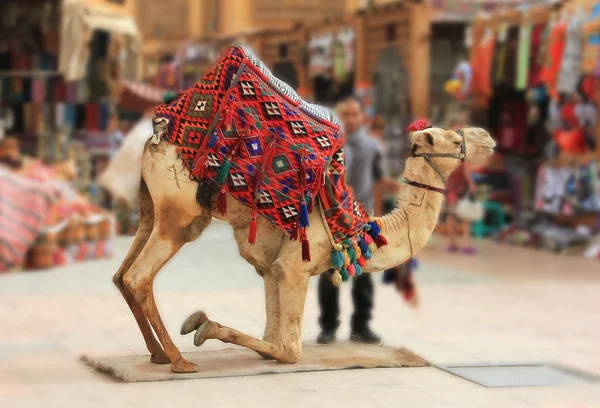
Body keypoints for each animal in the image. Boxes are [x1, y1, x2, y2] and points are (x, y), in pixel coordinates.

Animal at [111, 123, 492, 372]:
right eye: (454, 137)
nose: (487, 137)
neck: (359, 230)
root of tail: (155, 138)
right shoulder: (295, 268)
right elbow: (290, 351)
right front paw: (203, 325)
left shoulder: (271, 269)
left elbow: (272, 339)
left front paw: (204, 324)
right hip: (180, 217)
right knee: (139, 276)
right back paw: (179, 360)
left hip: (150, 209)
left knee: (121, 274)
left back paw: (158, 354)